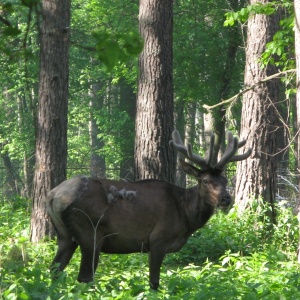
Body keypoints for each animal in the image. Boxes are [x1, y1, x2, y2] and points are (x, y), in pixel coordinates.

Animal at [46, 130, 251, 290]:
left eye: (224, 180)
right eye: (205, 180)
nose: (226, 199)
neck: (186, 216)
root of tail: (52, 195)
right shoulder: (158, 239)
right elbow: (154, 282)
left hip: (65, 236)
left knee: (54, 270)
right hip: (90, 233)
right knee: (85, 277)